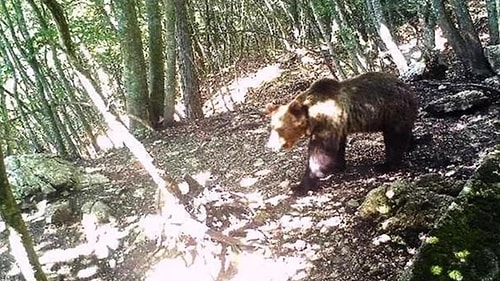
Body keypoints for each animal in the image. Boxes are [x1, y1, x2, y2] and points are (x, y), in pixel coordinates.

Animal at [266, 71, 418, 195]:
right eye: (271, 127)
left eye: (279, 128)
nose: (269, 145)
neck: (311, 116)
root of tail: (407, 88)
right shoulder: (338, 126)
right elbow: (337, 146)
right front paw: (337, 166)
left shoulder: (326, 122)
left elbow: (319, 152)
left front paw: (301, 185)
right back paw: (412, 144)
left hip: (391, 111)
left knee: (395, 139)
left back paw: (385, 165)